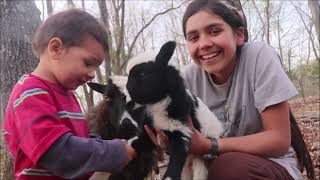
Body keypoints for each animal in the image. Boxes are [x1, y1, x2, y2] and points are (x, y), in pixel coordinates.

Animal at [126, 41, 224, 180]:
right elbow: (134, 146)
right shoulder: (148, 130)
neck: (157, 103)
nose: (127, 94)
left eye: (143, 74)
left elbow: (177, 156)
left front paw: (168, 177)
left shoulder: (181, 128)